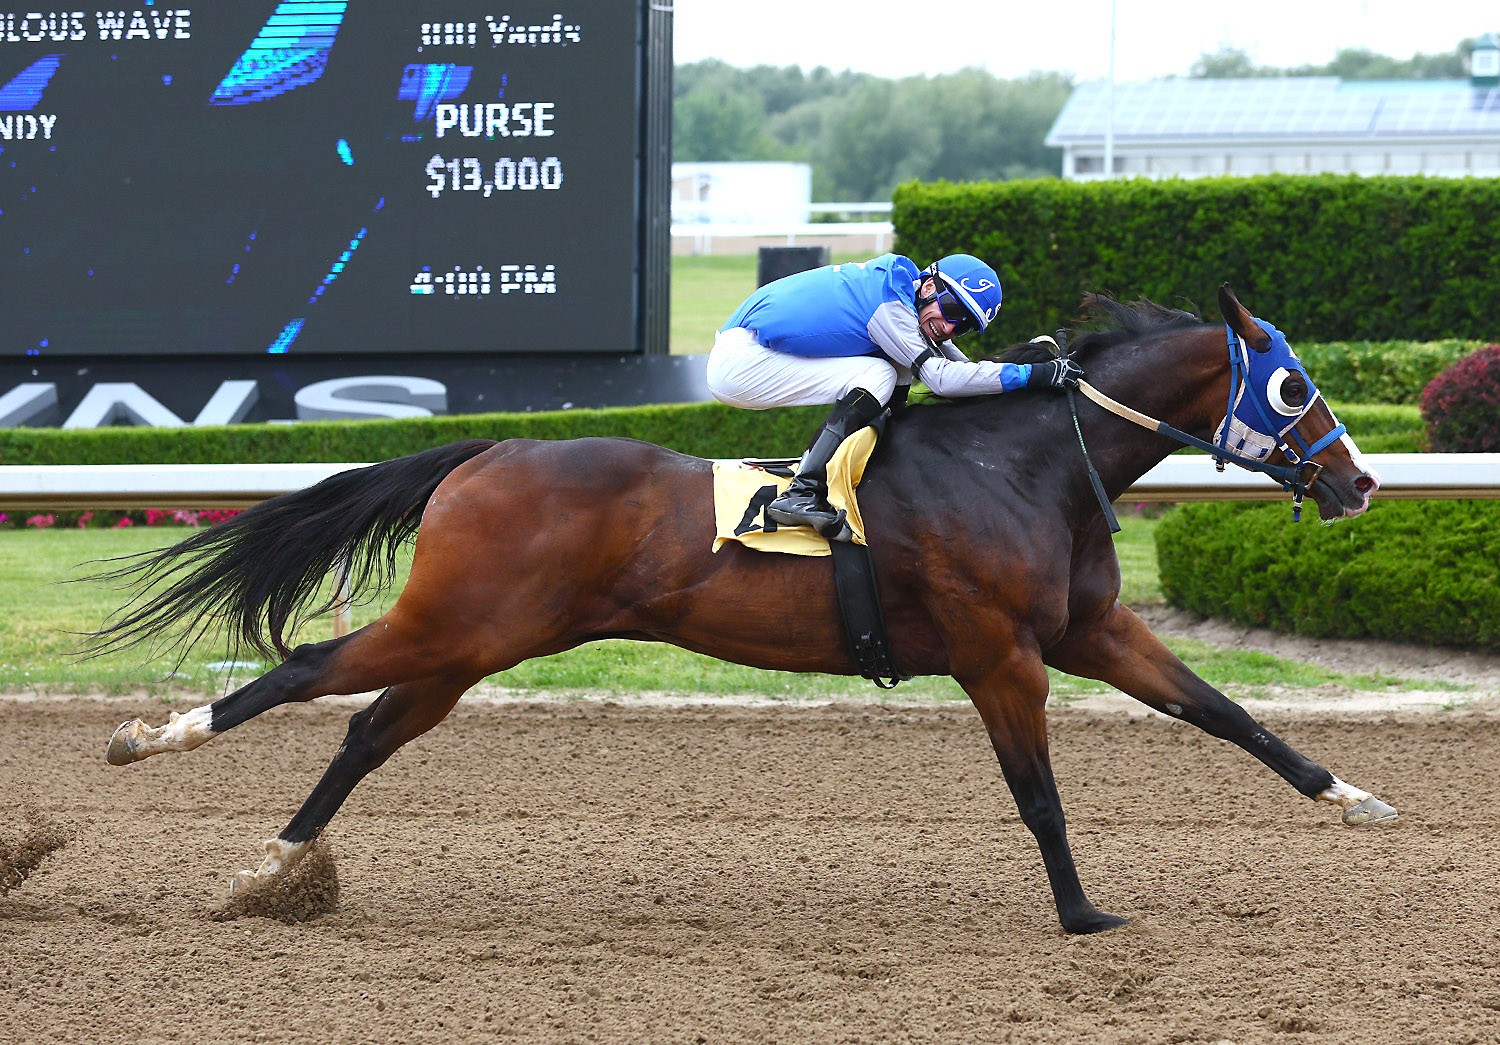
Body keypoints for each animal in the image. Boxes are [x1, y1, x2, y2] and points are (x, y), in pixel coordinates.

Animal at [90, 284, 1393, 935]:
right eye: (1294, 386)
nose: (1360, 481)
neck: (1023, 463)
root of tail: (492, 448)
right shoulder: (999, 656)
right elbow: (1039, 794)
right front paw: (1080, 913)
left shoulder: (1088, 633)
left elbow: (1226, 713)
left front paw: (1358, 797)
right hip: (456, 622)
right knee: (303, 668)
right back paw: (150, 741)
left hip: (480, 640)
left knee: (364, 727)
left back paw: (271, 872)